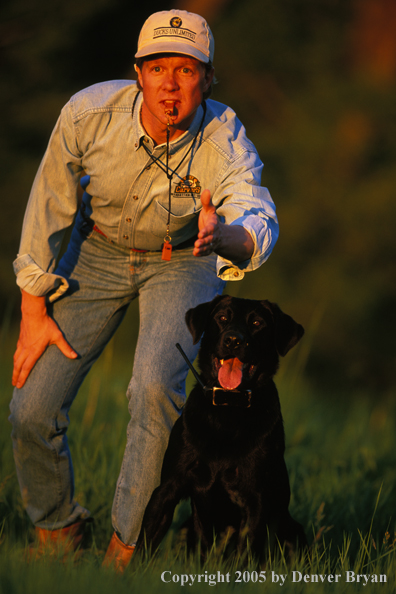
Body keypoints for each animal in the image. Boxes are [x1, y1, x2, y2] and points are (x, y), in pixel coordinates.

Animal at [138, 296, 308, 560]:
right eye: (222, 318)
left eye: (257, 323)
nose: (233, 340)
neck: (228, 409)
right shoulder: (167, 488)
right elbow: (143, 544)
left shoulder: (255, 501)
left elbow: (244, 554)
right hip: (185, 529)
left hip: (294, 532)